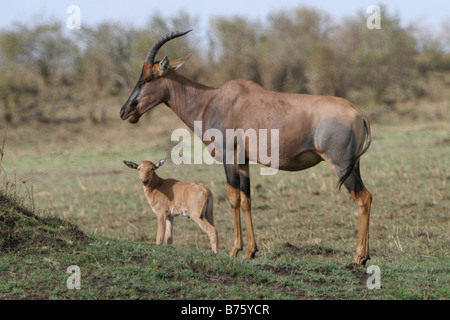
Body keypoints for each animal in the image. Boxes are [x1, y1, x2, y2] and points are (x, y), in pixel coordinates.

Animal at [119, 30, 372, 264]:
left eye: (147, 78)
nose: (125, 111)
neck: (212, 100)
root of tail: (360, 114)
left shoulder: (228, 157)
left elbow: (233, 199)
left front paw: (234, 250)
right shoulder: (244, 161)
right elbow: (246, 200)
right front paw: (251, 251)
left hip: (341, 165)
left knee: (362, 198)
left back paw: (358, 257)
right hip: (354, 165)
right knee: (368, 197)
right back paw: (366, 256)